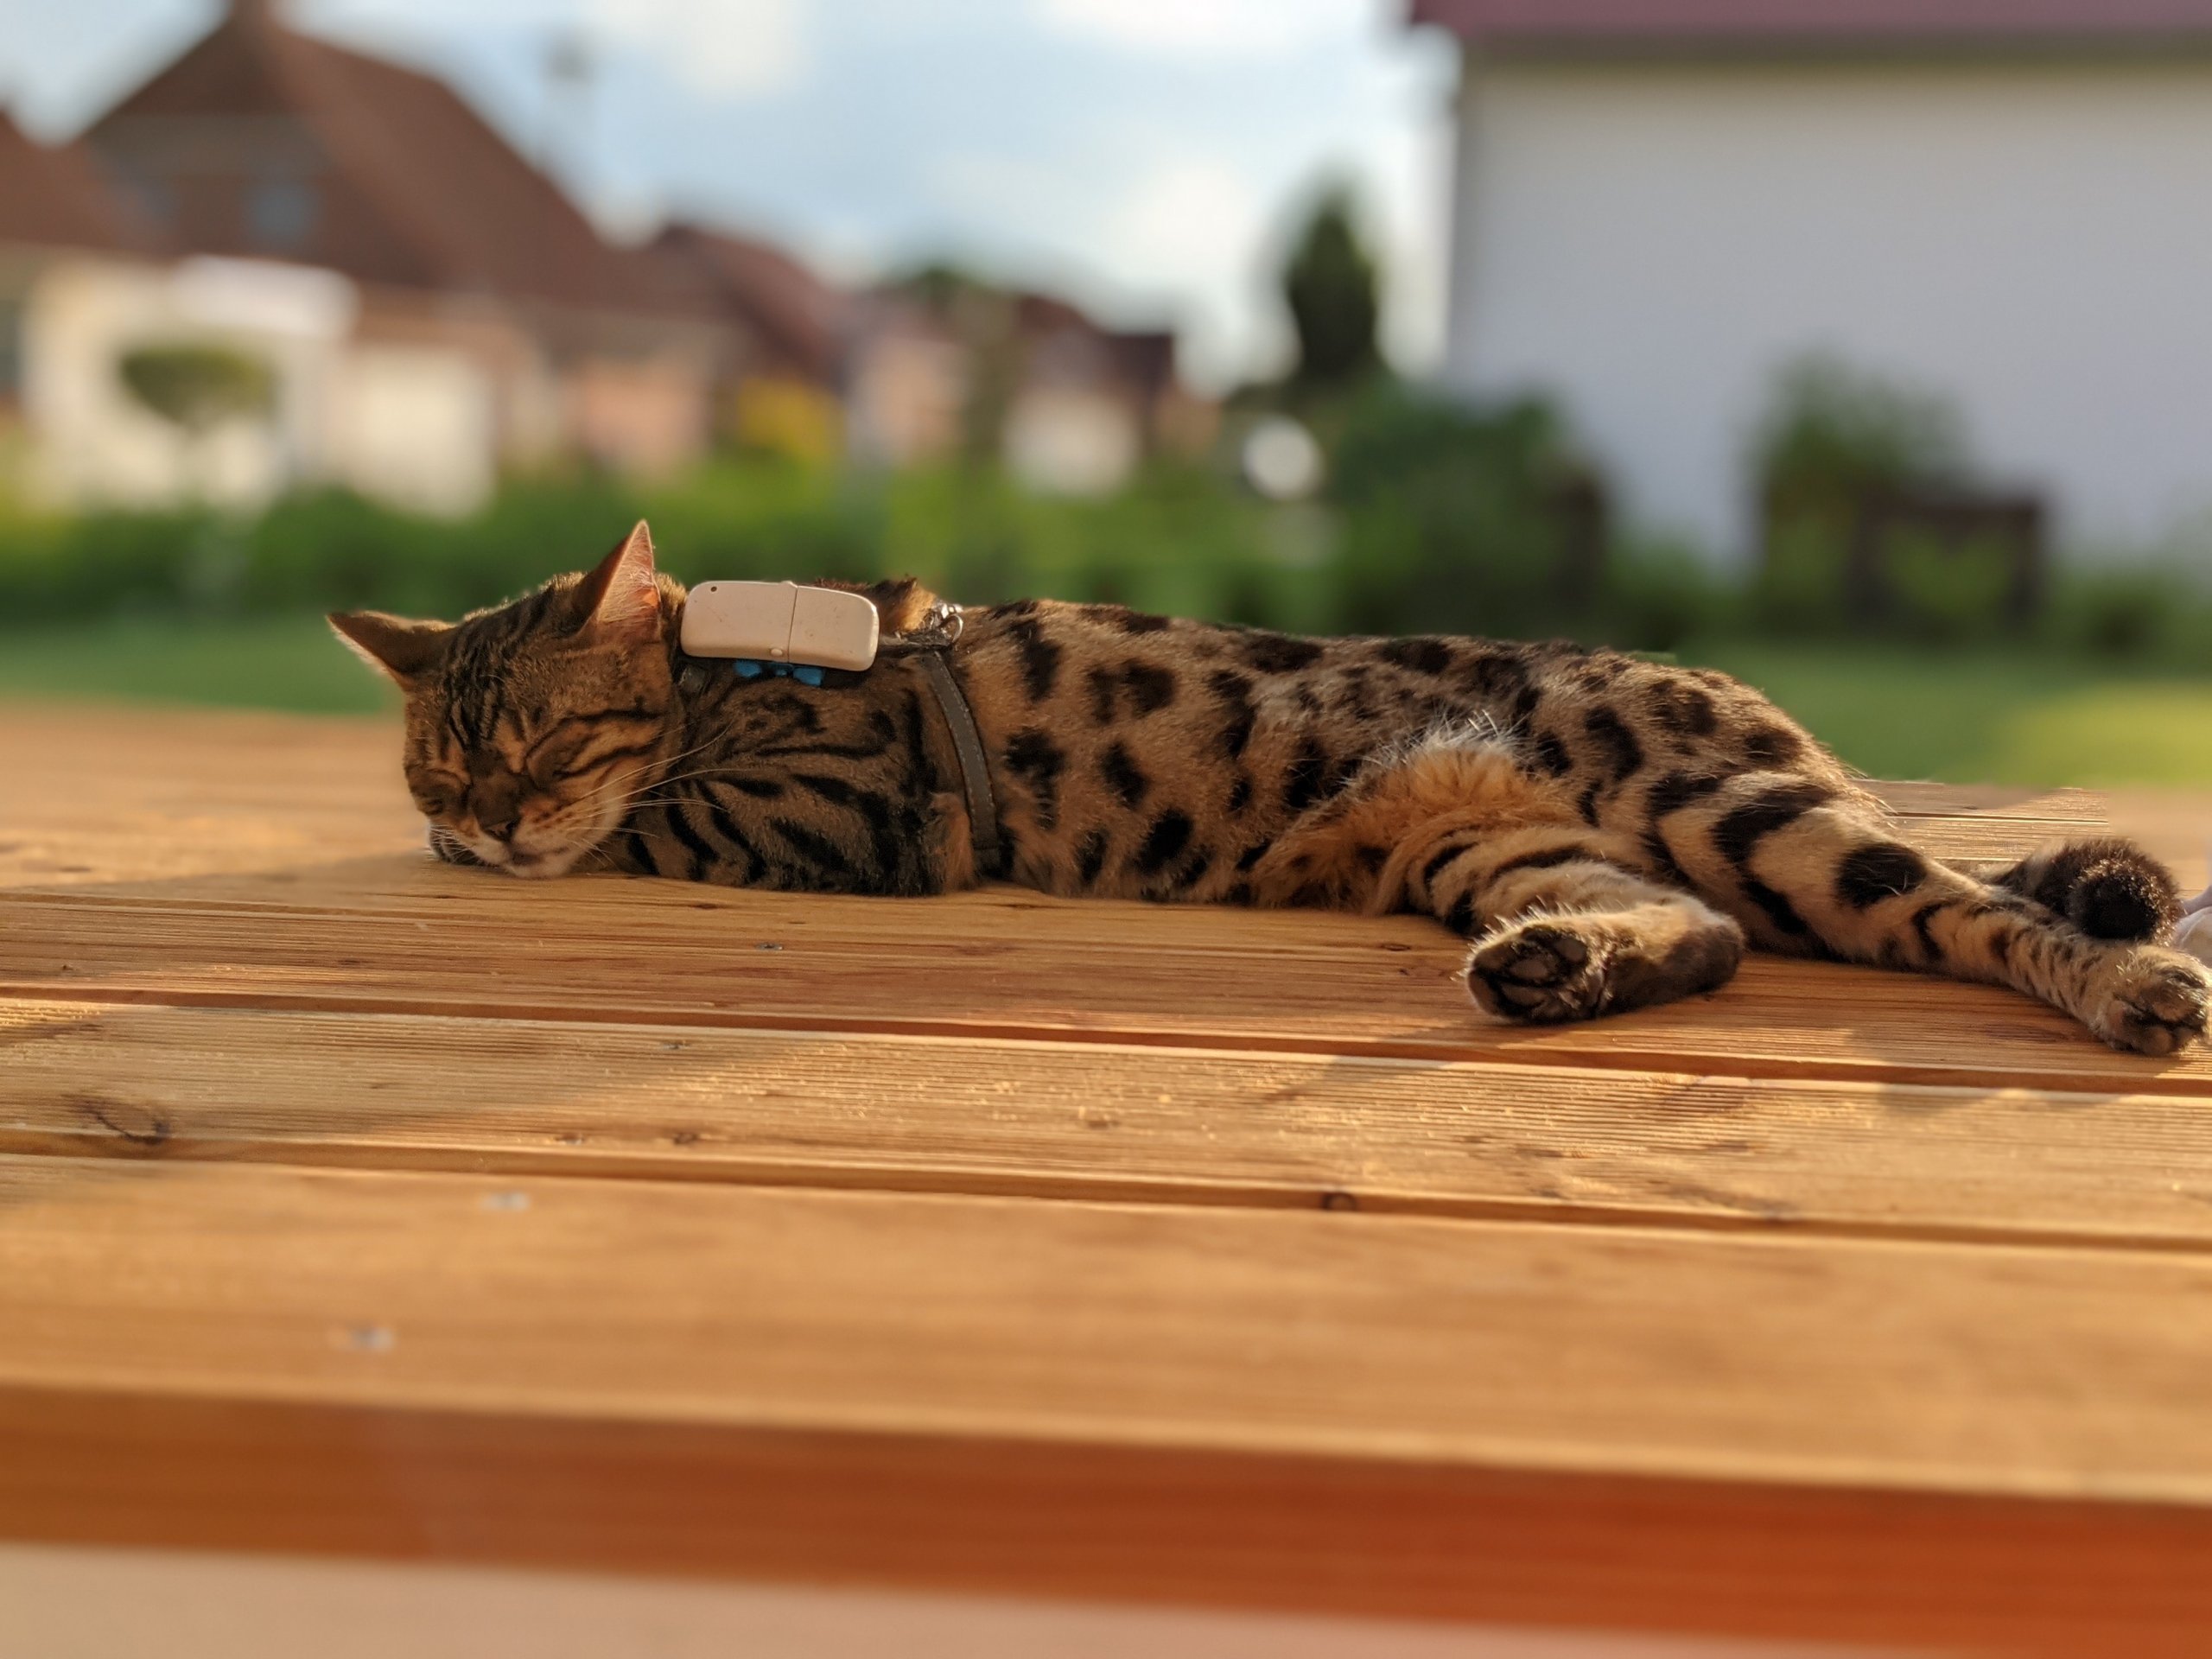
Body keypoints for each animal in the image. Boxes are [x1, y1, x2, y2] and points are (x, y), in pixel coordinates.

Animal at [332, 526, 2212, 1057]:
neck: (729, 670)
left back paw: (2127, 984)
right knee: (1696, 934)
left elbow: (648, 824)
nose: (482, 816)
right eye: (445, 756)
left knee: (1969, 911)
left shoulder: (835, 811)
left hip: (1726, 809)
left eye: (538, 749)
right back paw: (1556, 971)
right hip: (1493, 847)